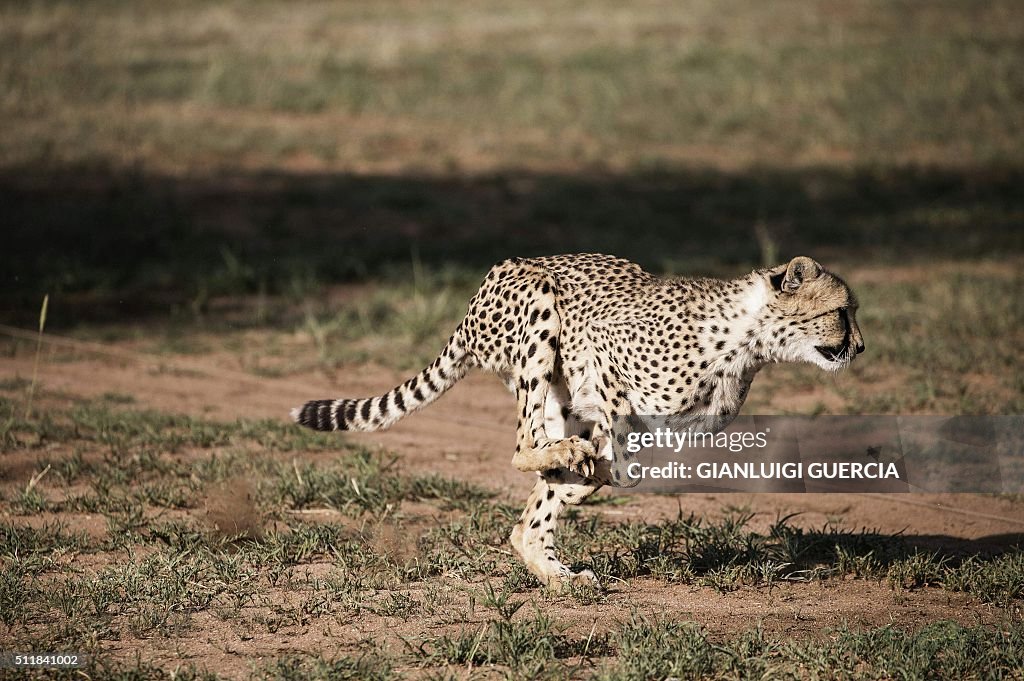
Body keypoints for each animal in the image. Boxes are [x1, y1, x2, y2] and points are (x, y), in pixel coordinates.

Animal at [294, 251, 864, 585]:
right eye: (842, 312)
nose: (860, 347)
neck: (748, 338)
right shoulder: (602, 347)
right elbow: (617, 417)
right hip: (538, 310)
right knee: (526, 446)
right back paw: (565, 466)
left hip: (557, 400)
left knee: (537, 507)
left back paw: (553, 569)